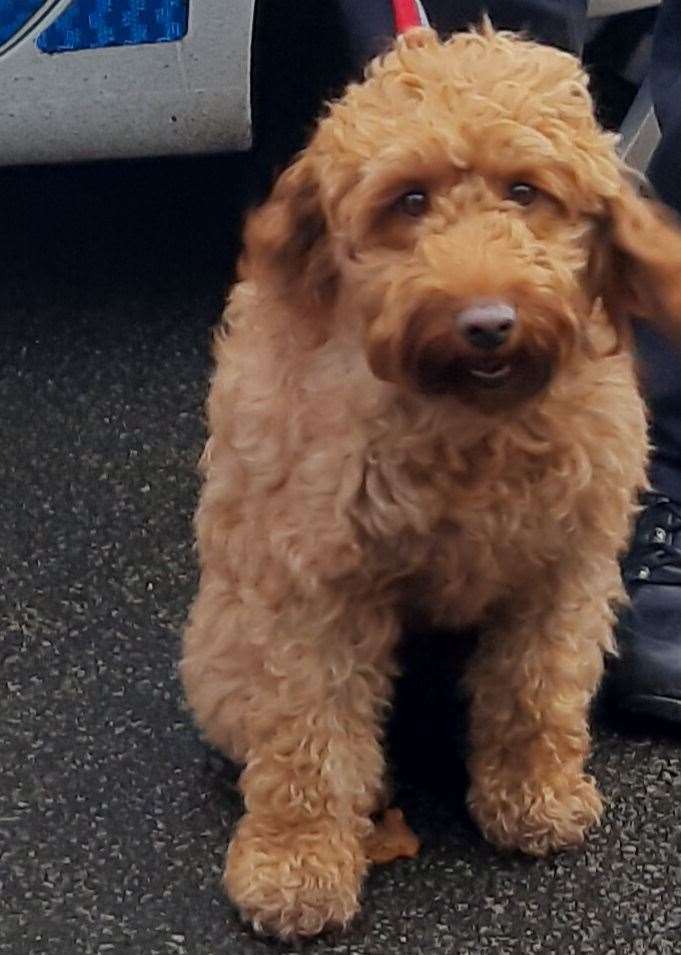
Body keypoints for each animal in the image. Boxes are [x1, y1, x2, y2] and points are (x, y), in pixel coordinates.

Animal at [179, 22, 680, 940]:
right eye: (408, 200)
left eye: (524, 190)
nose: (486, 322)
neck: (469, 420)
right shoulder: (314, 584)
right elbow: (307, 730)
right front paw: (294, 862)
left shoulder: (563, 569)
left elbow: (537, 689)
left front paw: (533, 792)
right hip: (221, 647)